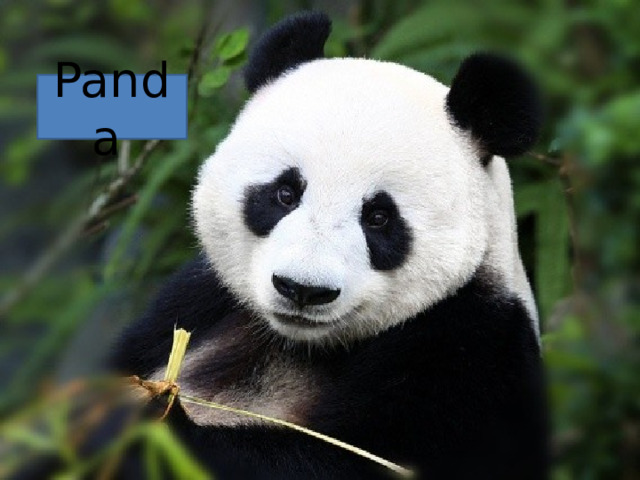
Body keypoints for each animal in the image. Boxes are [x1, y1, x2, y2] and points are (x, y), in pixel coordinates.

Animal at [111, 11, 548, 480]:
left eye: (379, 217)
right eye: (285, 193)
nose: (303, 290)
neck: (300, 344)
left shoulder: (472, 358)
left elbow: (347, 461)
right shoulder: (196, 301)